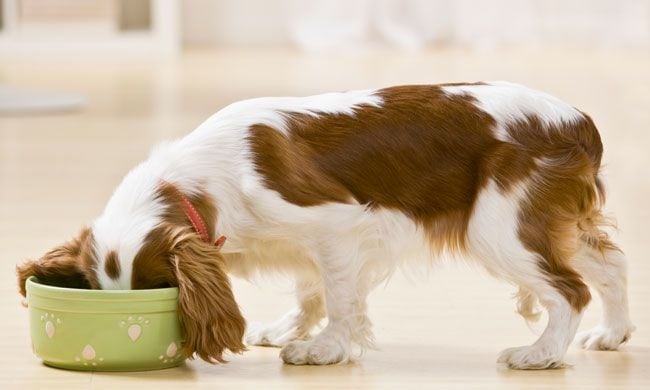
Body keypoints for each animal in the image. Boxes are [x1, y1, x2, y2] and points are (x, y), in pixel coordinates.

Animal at [16, 82, 632, 368]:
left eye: (160, 289)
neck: (199, 181)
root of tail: (578, 122)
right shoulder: (307, 245)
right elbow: (310, 289)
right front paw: (291, 328)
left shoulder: (335, 226)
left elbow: (338, 296)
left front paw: (324, 349)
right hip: (551, 223)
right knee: (609, 265)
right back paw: (613, 333)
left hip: (499, 228)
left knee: (569, 290)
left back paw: (540, 354)